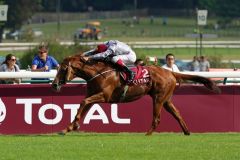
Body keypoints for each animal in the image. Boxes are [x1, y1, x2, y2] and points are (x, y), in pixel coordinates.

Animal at [52, 54, 219, 136]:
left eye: (63, 68)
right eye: (58, 67)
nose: (54, 85)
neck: (97, 73)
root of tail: (170, 72)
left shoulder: (104, 96)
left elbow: (83, 102)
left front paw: (72, 126)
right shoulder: (94, 96)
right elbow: (84, 105)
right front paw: (68, 128)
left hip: (158, 99)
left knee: (157, 118)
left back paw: (147, 135)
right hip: (166, 99)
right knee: (177, 113)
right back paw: (186, 132)